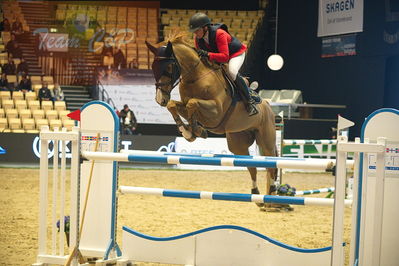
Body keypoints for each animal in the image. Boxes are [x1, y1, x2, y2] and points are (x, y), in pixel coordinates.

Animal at [146, 32, 278, 204]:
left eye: (169, 67)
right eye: (153, 67)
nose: (160, 99)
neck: (195, 77)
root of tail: (268, 106)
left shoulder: (216, 112)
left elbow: (192, 104)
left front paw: (195, 131)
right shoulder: (185, 105)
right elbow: (174, 105)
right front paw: (189, 132)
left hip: (266, 140)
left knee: (271, 165)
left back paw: (273, 191)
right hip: (238, 142)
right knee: (251, 166)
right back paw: (255, 193)